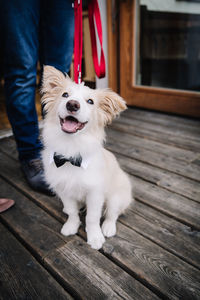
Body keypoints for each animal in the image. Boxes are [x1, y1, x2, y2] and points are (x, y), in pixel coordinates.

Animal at [41, 66, 133, 251]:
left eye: (90, 101)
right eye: (65, 95)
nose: (72, 104)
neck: (70, 150)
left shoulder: (95, 194)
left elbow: (92, 218)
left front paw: (95, 237)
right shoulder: (63, 189)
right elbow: (71, 211)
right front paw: (71, 226)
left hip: (116, 197)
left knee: (112, 213)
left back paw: (108, 228)